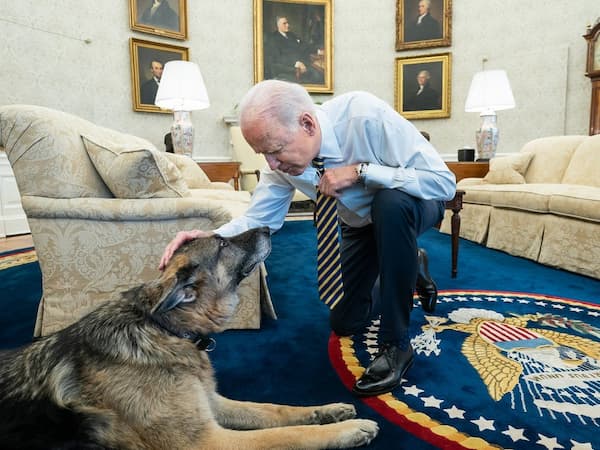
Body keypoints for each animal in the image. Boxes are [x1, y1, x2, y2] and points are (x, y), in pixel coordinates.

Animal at [0, 230, 378, 448]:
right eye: (223, 243)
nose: (269, 227)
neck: (163, 329)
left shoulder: (212, 403)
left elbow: (276, 410)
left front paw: (327, 411)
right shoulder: (208, 441)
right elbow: (285, 434)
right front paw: (347, 430)